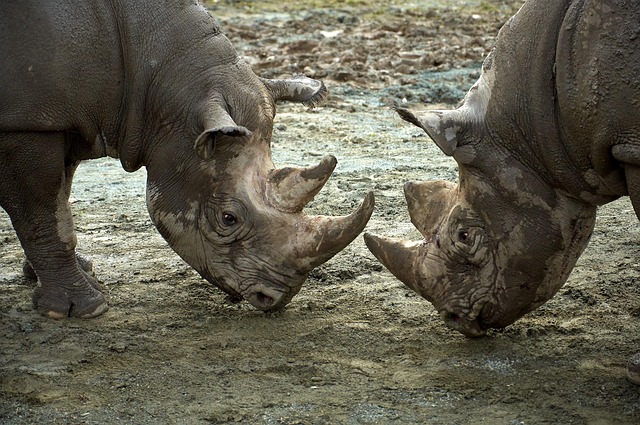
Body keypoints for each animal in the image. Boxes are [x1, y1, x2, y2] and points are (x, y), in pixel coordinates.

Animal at [0, 0, 374, 319]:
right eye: (228, 218)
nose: (276, 299)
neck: (157, 87)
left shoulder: (59, 119)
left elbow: (59, 198)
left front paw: (75, 274)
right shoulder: (25, 124)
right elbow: (44, 211)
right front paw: (83, 310)